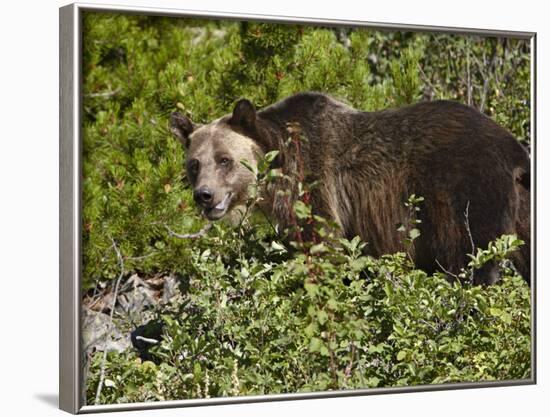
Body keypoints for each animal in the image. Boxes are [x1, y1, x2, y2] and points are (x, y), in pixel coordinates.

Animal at [171, 92, 532, 284]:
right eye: (195, 163)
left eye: (224, 160)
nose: (204, 196)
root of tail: (513, 148)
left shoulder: (313, 184)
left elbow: (321, 245)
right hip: (525, 205)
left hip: (463, 195)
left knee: (468, 258)